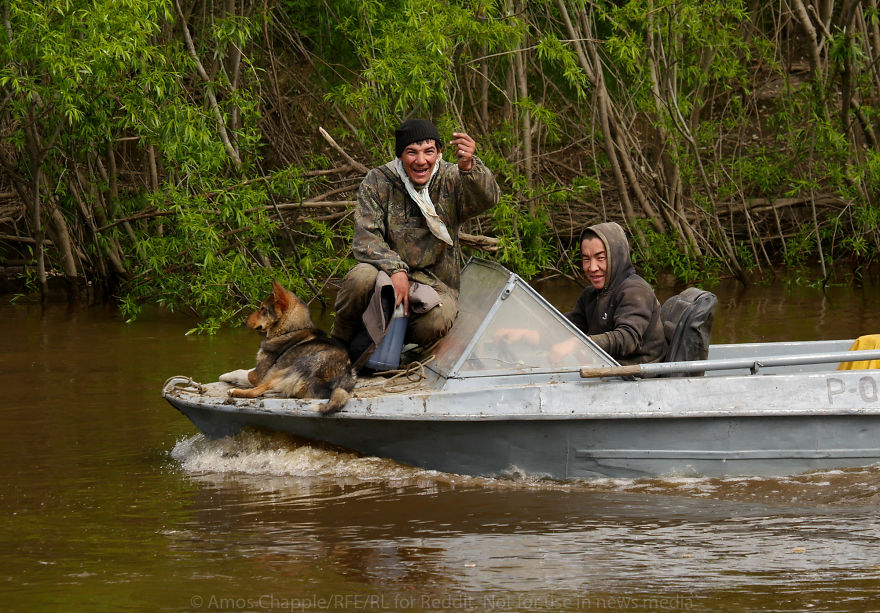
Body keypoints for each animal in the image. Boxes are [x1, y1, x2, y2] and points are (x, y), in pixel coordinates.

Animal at [232, 280, 360, 414]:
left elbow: (239, 372)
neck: (290, 330)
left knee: (255, 391)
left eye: (263, 309)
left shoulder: (257, 376)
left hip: (283, 372)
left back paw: (234, 391)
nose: (244, 322)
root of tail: (337, 381)